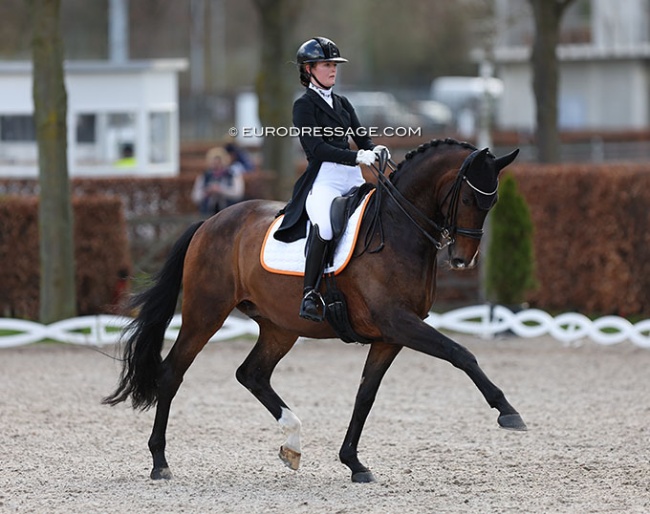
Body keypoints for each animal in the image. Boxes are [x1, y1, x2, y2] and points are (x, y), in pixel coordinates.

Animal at [104, 136, 524, 480]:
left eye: (493, 202)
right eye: (468, 199)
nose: (462, 260)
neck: (398, 229)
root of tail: (210, 221)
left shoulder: (390, 335)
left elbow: (365, 395)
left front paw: (354, 463)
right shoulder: (400, 322)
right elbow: (461, 353)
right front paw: (507, 410)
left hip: (280, 326)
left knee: (252, 374)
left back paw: (292, 442)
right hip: (205, 312)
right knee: (172, 373)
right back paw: (160, 462)